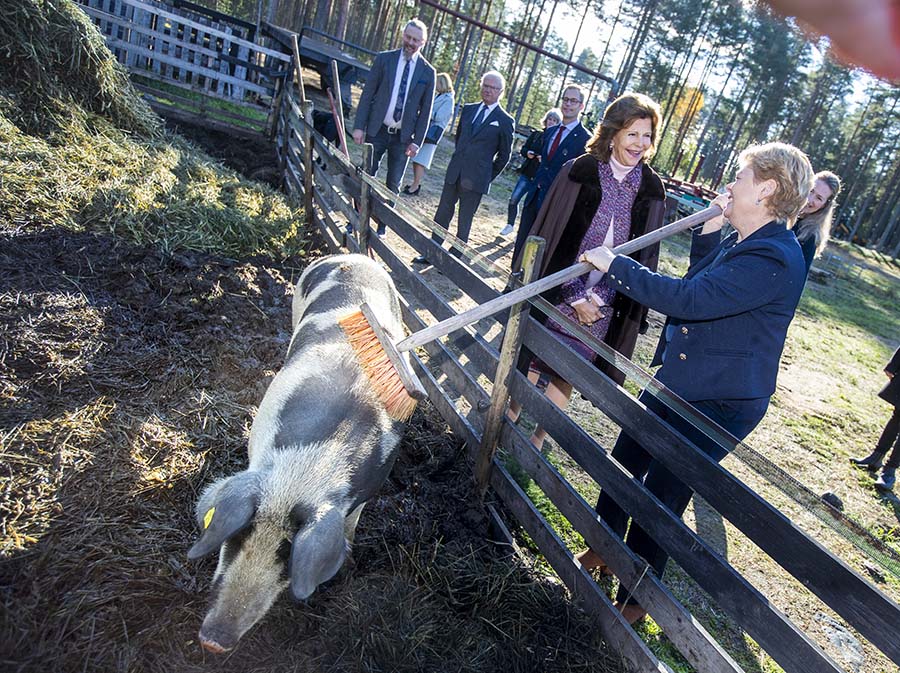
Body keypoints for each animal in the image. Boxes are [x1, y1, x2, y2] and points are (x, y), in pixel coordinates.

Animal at [190, 252, 412, 652]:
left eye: (287, 557)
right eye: (237, 537)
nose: (214, 641)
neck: (306, 472)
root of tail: (351, 255)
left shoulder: (363, 495)